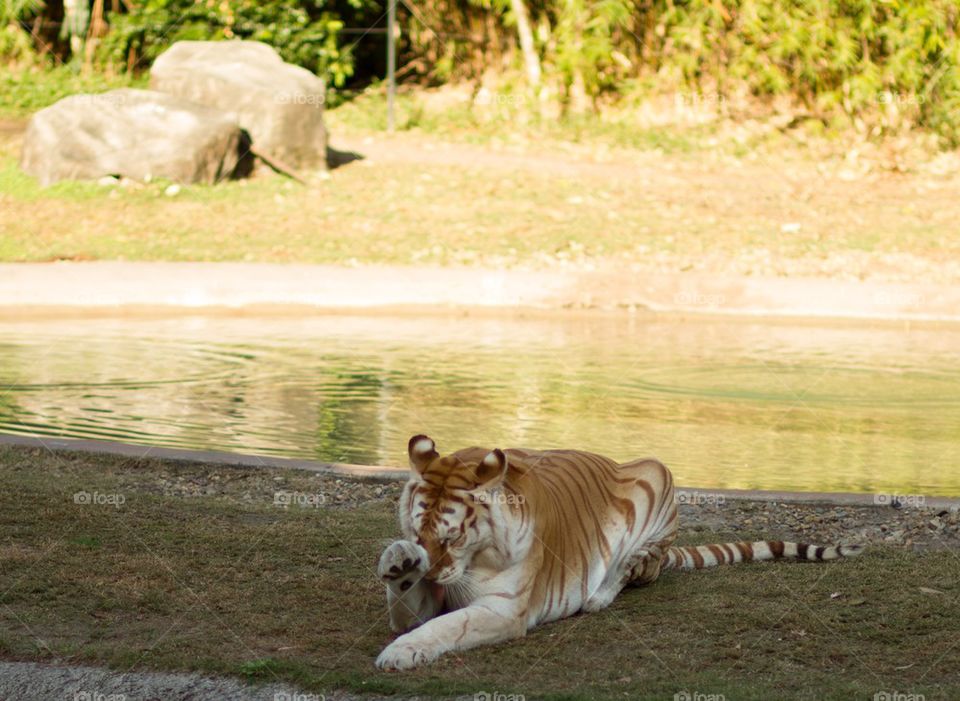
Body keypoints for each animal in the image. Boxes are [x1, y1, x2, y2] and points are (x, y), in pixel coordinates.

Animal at [376, 434, 864, 668]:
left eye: (453, 538)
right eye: (418, 531)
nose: (430, 572)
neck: (474, 558)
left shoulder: (502, 610)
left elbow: (445, 626)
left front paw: (399, 653)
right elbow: (409, 604)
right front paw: (399, 561)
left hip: (657, 478)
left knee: (634, 568)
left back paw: (597, 594)